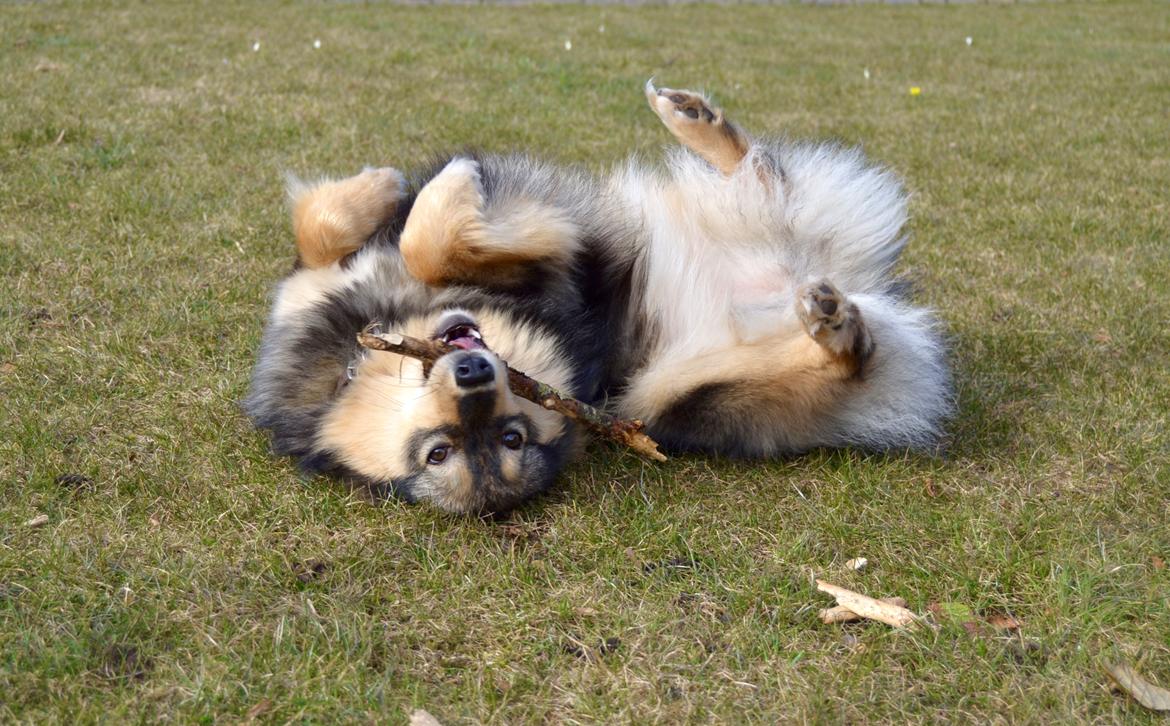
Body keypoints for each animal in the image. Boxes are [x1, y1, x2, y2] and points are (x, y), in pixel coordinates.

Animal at [246, 83, 950, 514]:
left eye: (510, 437)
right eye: (442, 452)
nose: (475, 374)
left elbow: (370, 231)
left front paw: (396, 185)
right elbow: (380, 237)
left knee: (761, 168)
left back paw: (694, 118)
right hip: (674, 392)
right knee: (843, 352)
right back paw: (836, 328)